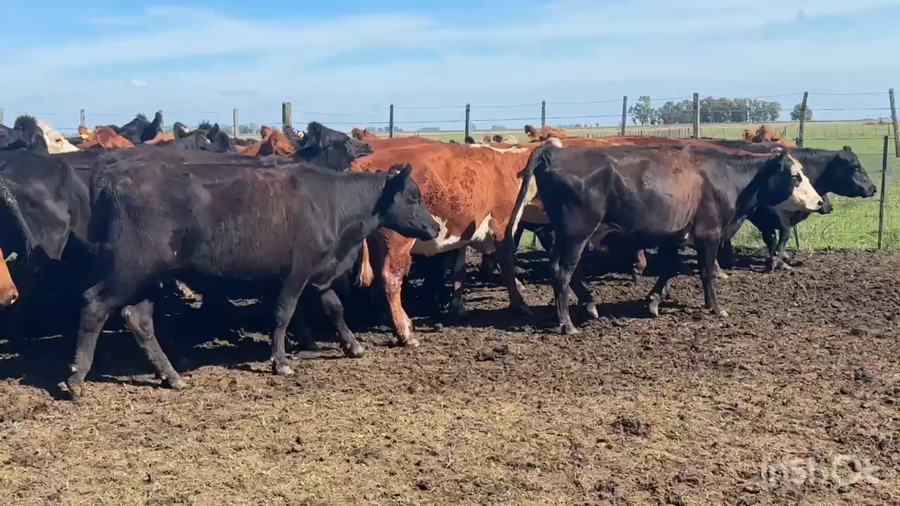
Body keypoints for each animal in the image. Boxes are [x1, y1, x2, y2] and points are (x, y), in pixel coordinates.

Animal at [64, 160, 439, 395]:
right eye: (413, 197)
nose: (435, 228)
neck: (334, 206)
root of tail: (114, 177)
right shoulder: (296, 271)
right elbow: (283, 313)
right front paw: (281, 362)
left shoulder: (320, 272)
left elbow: (335, 308)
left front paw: (353, 346)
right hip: (129, 268)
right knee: (93, 304)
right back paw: (77, 378)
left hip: (145, 277)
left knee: (138, 318)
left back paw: (170, 375)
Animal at [507, 144, 825, 334]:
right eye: (795, 176)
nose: (821, 202)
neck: (723, 177)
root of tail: (554, 152)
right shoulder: (708, 233)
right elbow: (706, 272)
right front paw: (716, 307)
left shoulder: (675, 235)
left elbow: (668, 269)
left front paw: (653, 302)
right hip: (577, 233)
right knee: (563, 273)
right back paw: (567, 323)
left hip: (563, 234)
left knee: (560, 270)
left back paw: (589, 305)